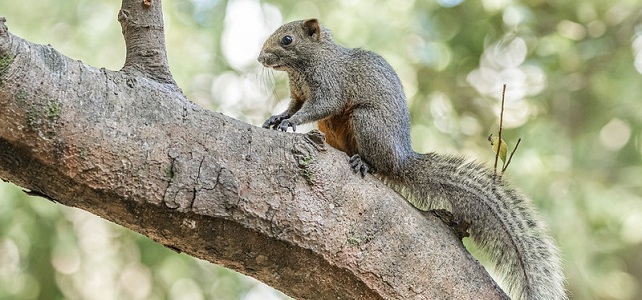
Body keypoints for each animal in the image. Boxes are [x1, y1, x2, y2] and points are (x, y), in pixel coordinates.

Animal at [258, 18, 564, 300]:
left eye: (287, 39)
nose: (261, 58)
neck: (303, 67)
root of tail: (401, 159)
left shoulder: (330, 83)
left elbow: (320, 106)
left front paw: (292, 122)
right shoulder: (298, 93)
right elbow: (293, 106)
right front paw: (278, 118)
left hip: (367, 122)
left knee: (378, 163)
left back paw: (364, 162)